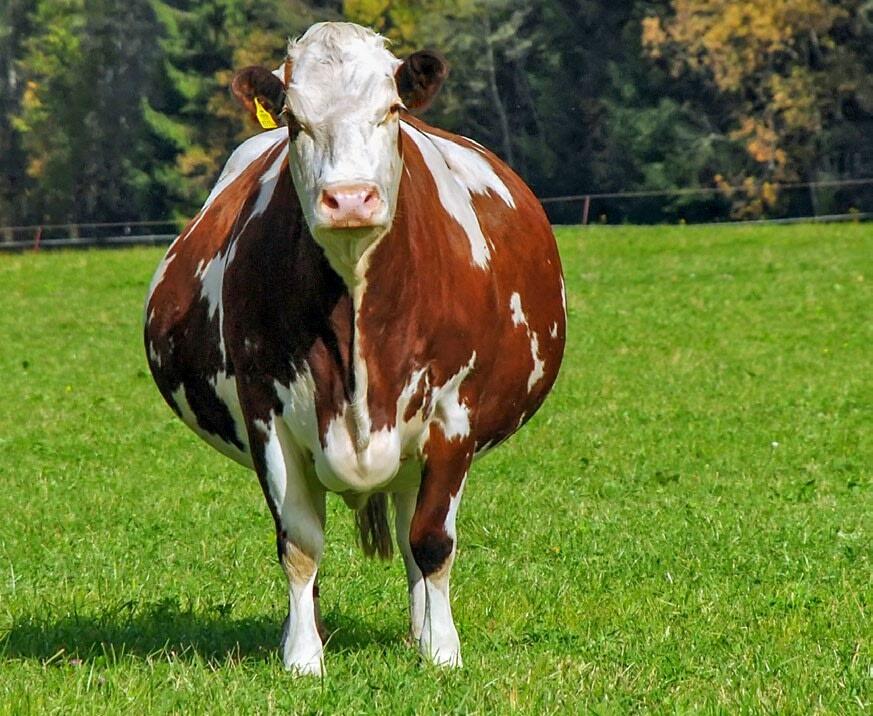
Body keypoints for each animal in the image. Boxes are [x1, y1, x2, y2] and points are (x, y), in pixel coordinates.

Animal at [144, 22, 565, 675]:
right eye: (294, 120)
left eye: (389, 109)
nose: (348, 199)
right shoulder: (266, 411)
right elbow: (299, 543)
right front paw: (302, 657)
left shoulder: (453, 414)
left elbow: (432, 541)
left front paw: (442, 651)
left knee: (414, 534)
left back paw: (420, 631)